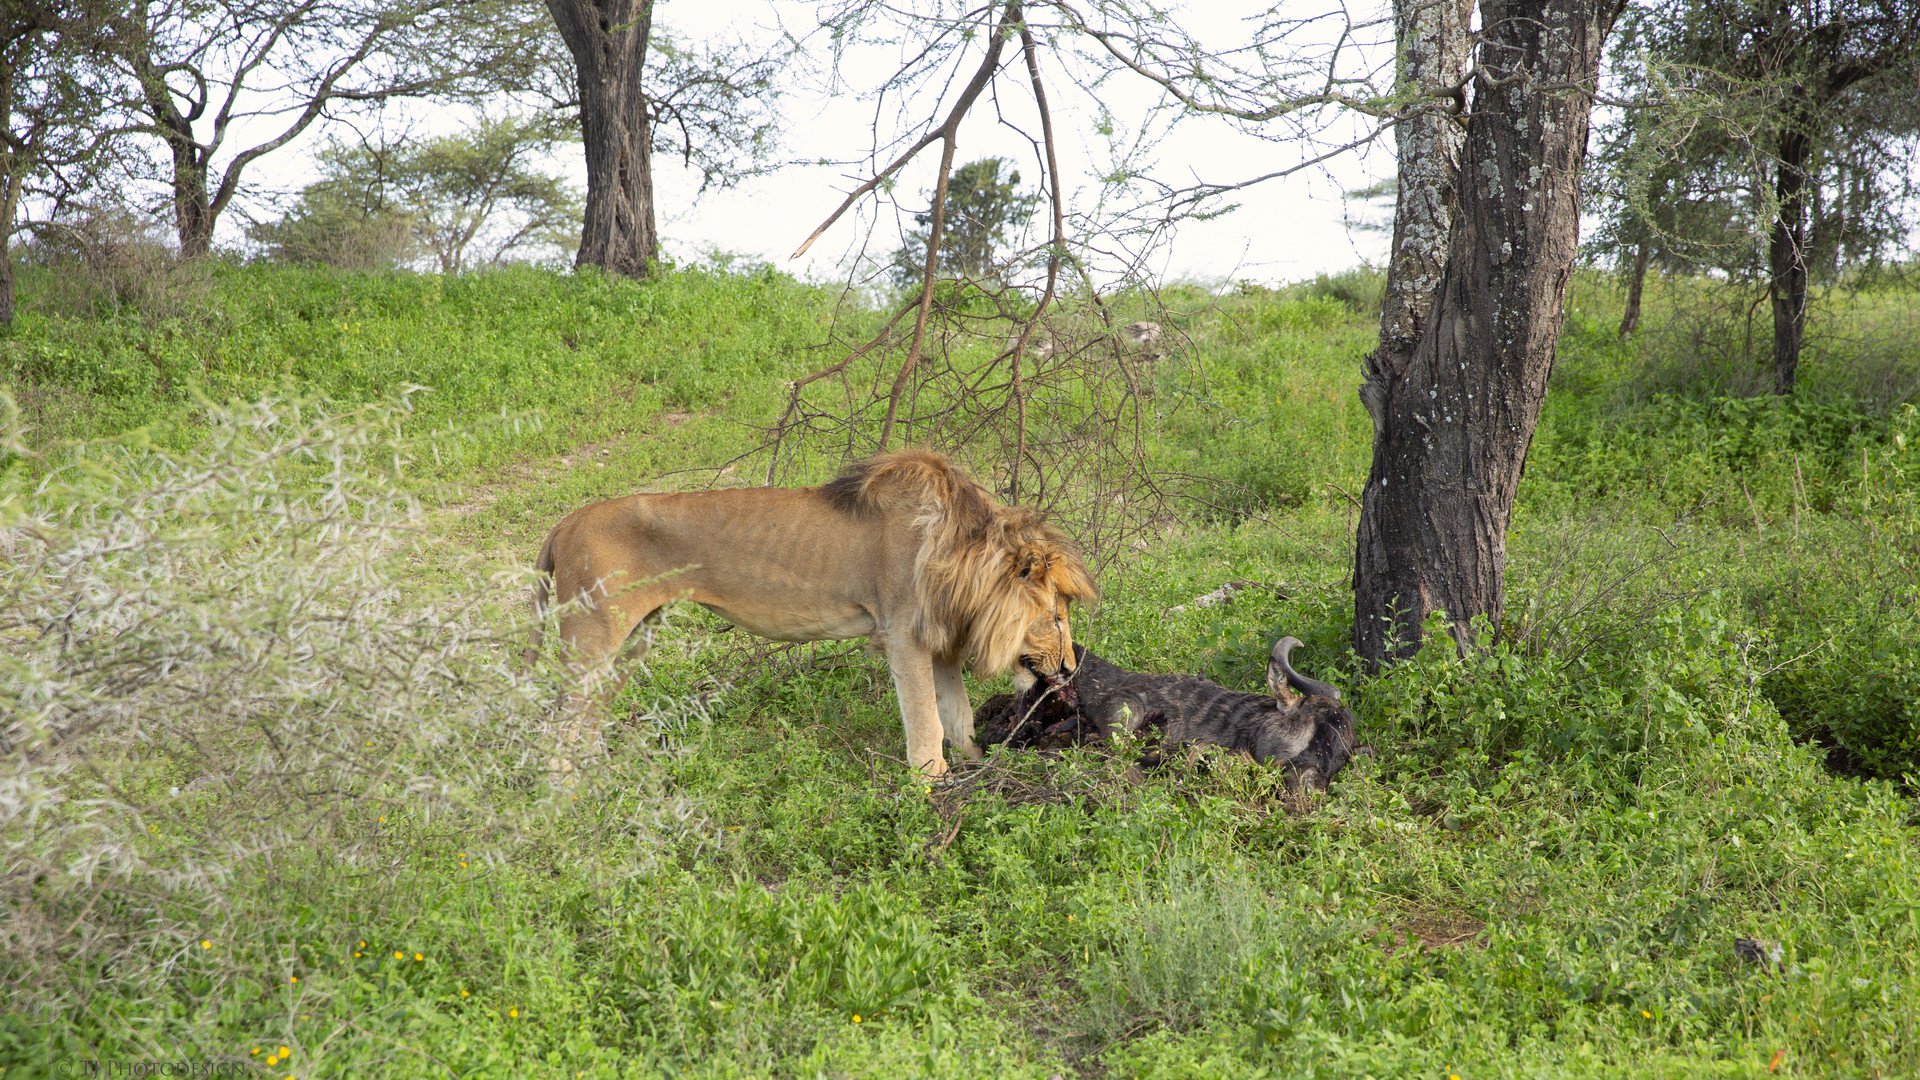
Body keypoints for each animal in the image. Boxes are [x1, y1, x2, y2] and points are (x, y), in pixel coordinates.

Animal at [529, 447, 1098, 772]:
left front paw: (980, 773)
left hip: (634, 637)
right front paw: (931, 792)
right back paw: (566, 800)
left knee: (588, 716)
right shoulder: (904, 635)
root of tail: (565, 522)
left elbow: (957, 717)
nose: (1072, 668)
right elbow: (926, 723)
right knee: (559, 723)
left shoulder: (938, 641)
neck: (960, 555)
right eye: (1056, 618)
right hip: (592, 636)